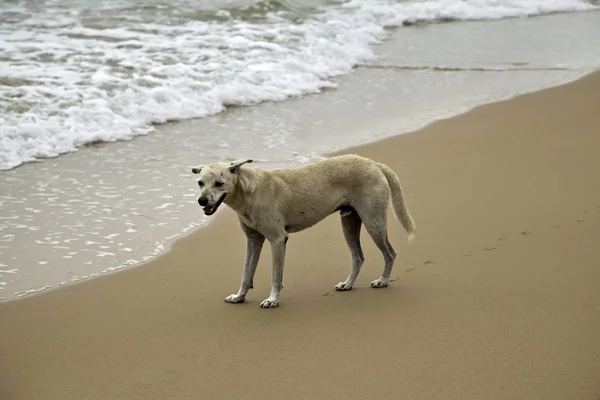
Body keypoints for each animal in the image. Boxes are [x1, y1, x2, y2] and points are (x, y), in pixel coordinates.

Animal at [190, 154, 414, 310]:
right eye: (200, 183)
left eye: (219, 183)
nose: (201, 200)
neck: (247, 191)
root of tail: (374, 163)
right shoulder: (253, 240)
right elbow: (246, 273)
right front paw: (239, 296)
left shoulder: (277, 240)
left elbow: (275, 276)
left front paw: (272, 300)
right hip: (349, 224)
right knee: (358, 257)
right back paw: (348, 284)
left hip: (373, 223)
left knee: (390, 253)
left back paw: (383, 281)